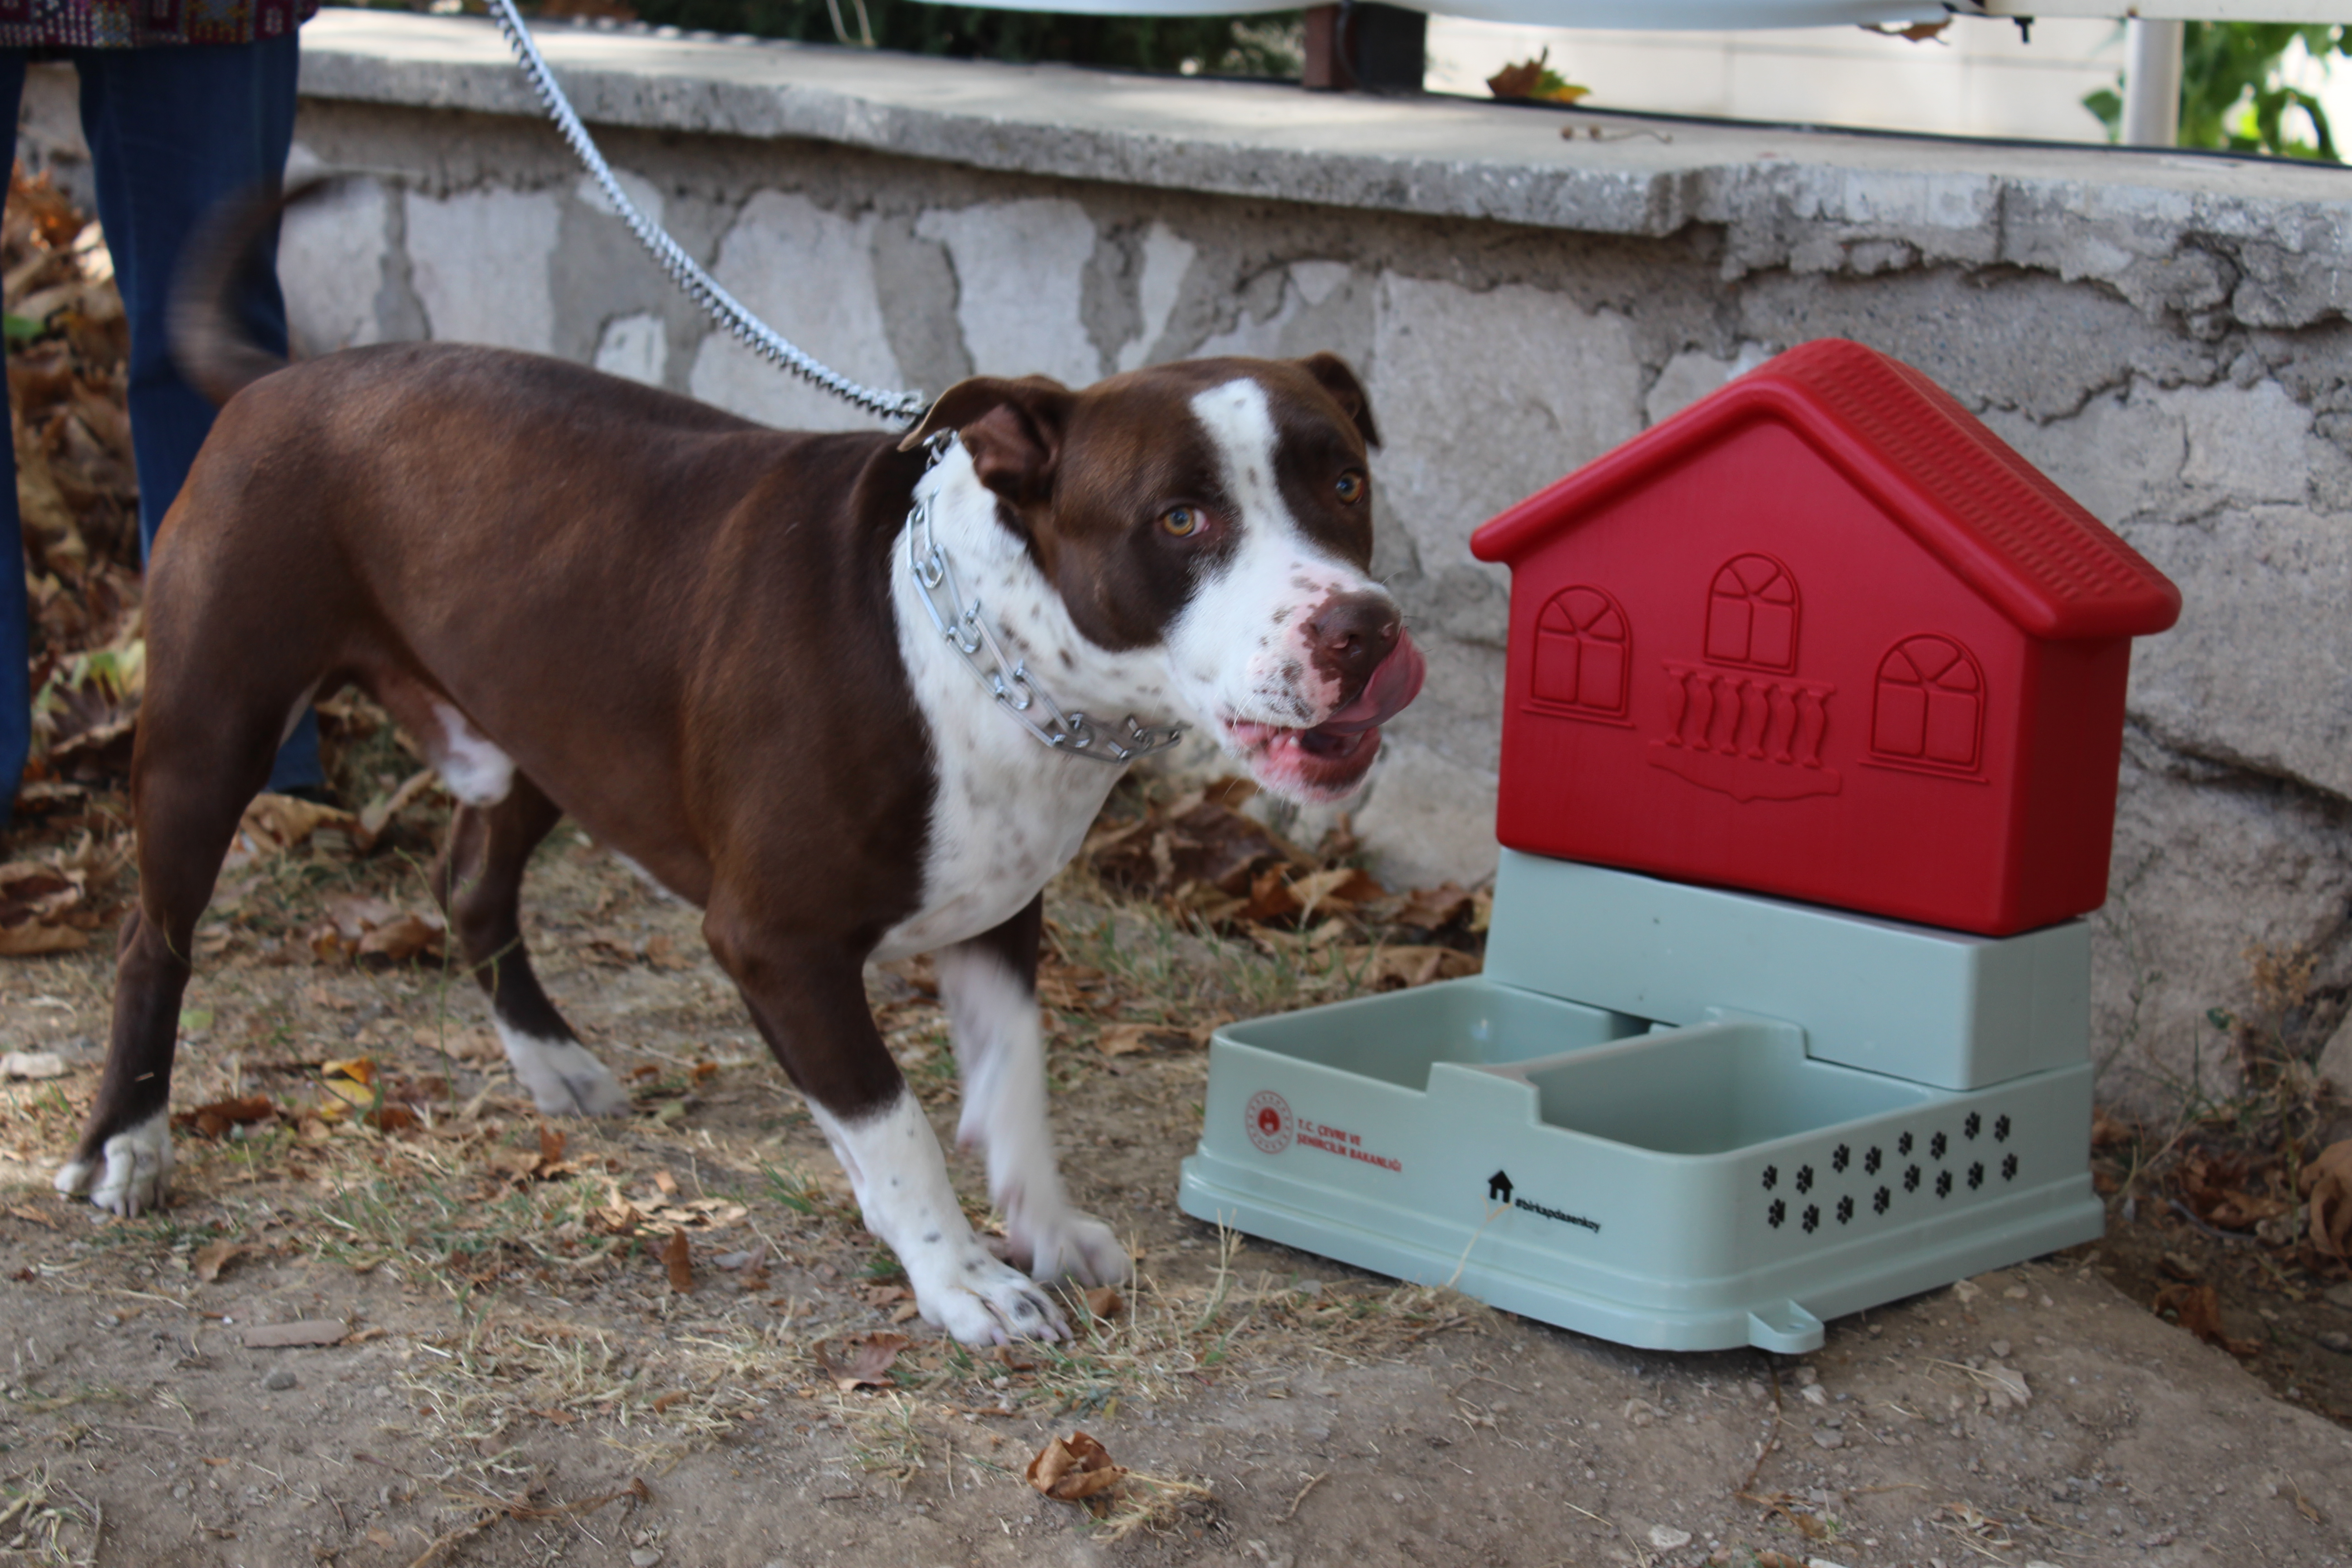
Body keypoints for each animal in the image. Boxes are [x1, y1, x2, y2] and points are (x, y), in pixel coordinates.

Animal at [50, 223, 1411, 1354]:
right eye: (1181, 518)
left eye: (1344, 482)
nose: (1362, 628)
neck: (972, 645)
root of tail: (285, 375)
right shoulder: (777, 943)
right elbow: (893, 1118)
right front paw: (960, 1276)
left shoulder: (997, 918)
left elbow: (1013, 1086)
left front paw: (1042, 1227)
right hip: (211, 730)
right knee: (151, 939)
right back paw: (125, 1146)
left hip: (543, 723)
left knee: (471, 883)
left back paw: (553, 1064)